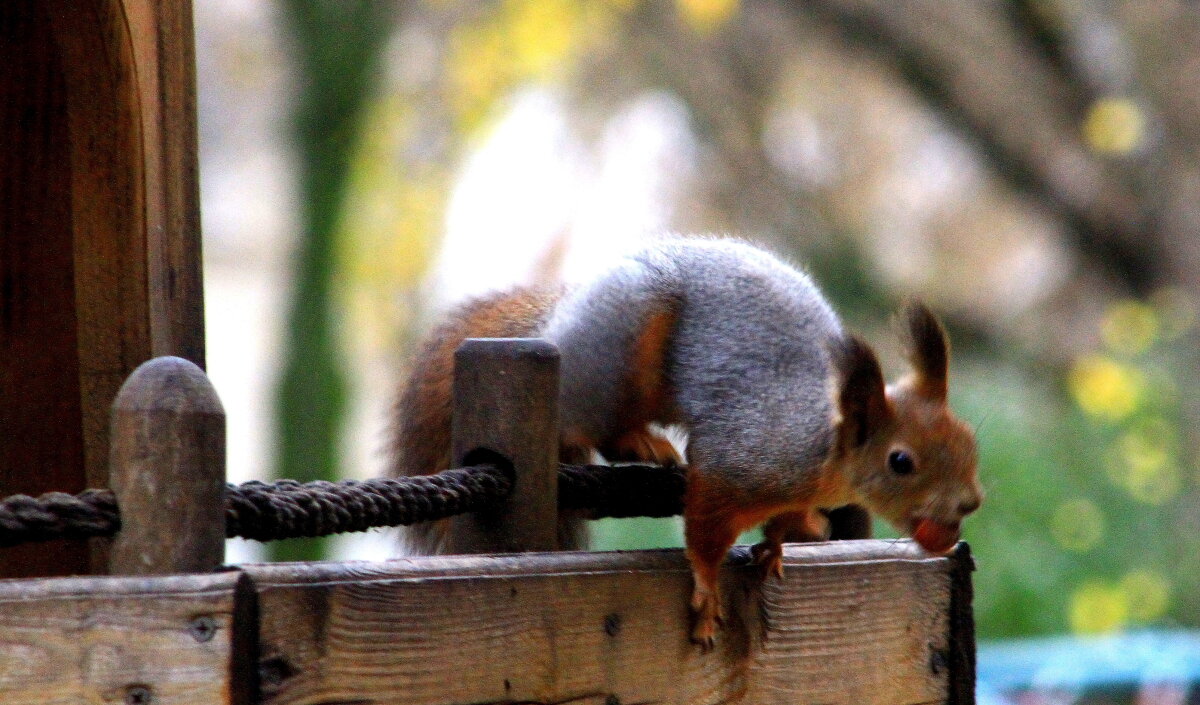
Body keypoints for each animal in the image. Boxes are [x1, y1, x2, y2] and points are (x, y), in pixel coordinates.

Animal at [393, 238, 984, 652]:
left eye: (969, 441)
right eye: (900, 461)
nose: (971, 502)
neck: (823, 450)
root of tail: (559, 323)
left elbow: (787, 522)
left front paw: (783, 540)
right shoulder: (738, 459)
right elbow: (705, 525)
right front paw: (706, 592)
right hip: (615, 361)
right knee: (592, 426)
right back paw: (641, 443)